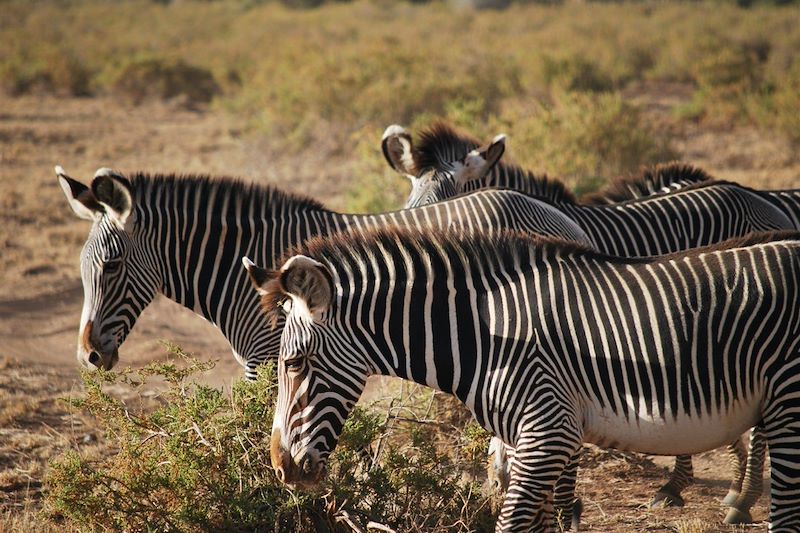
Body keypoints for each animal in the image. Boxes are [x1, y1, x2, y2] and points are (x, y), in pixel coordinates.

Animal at [56, 162, 588, 378]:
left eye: (112, 266)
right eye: (81, 271)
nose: (88, 358)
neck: (238, 263)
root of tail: (560, 217)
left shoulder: (267, 356)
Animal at [248, 225, 800, 532]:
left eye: (293, 365)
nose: (280, 468)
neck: (487, 336)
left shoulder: (548, 434)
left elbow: (512, 524)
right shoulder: (529, 443)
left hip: (789, 401)